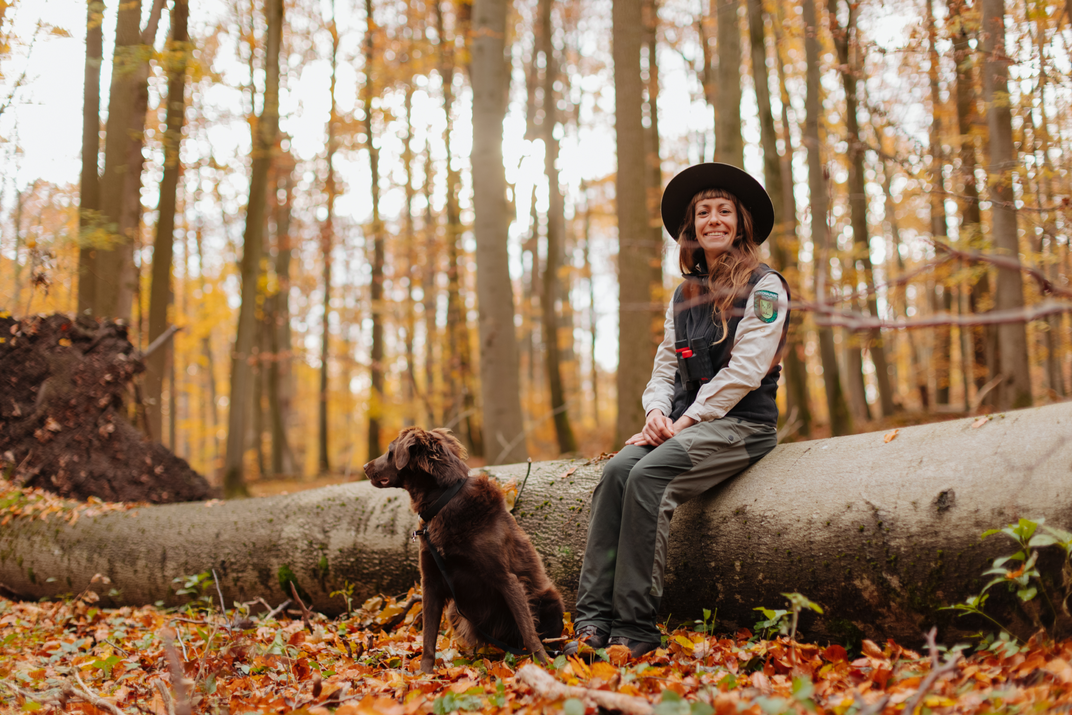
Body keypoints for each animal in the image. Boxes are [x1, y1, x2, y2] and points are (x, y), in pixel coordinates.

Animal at [364, 428, 566, 673]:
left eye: (390, 451)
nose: (364, 466)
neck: (442, 503)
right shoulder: (430, 582)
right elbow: (428, 637)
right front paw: (424, 675)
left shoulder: (506, 579)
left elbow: (529, 631)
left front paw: (544, 664)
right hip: (455, 611)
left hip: (548, 600)